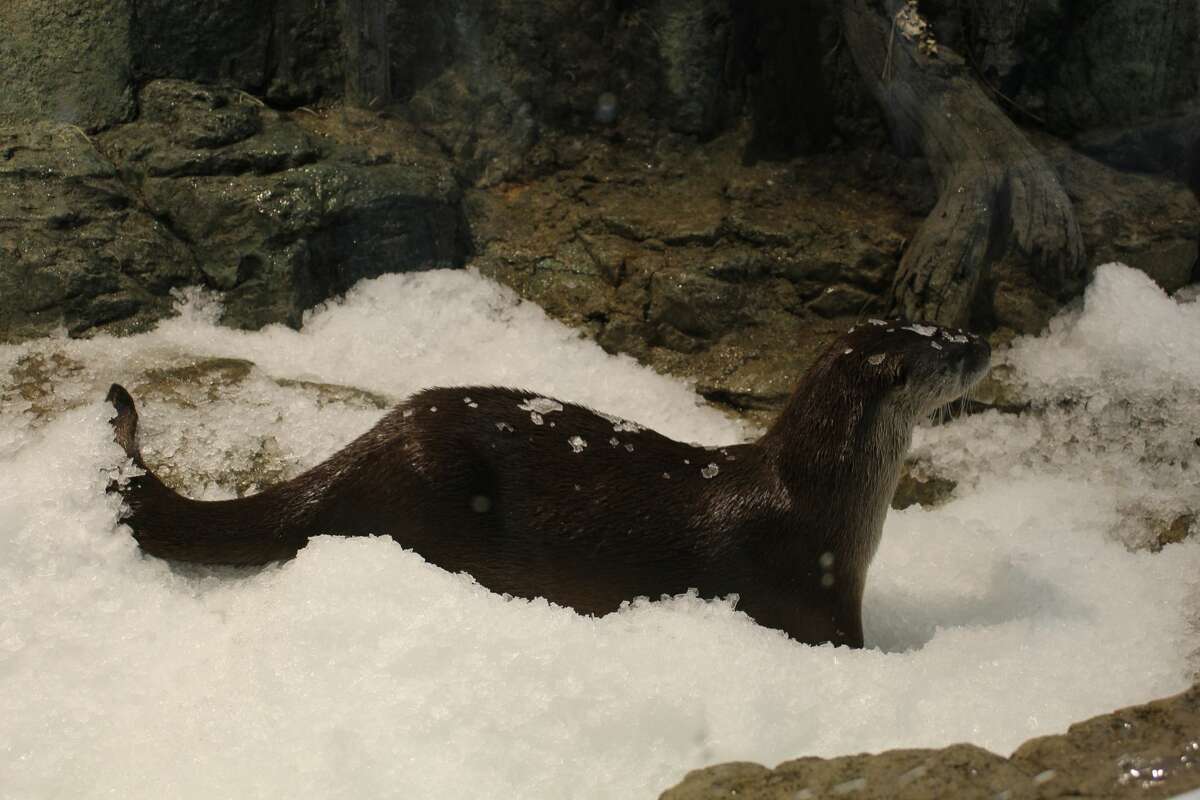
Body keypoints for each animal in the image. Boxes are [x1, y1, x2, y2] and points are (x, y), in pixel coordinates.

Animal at [106, 321, 990, 647]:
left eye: (941, 325)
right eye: (943, 350)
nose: (984, 340)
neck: (822, 504)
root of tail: (371, 445)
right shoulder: (813, 599)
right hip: (430, 491)